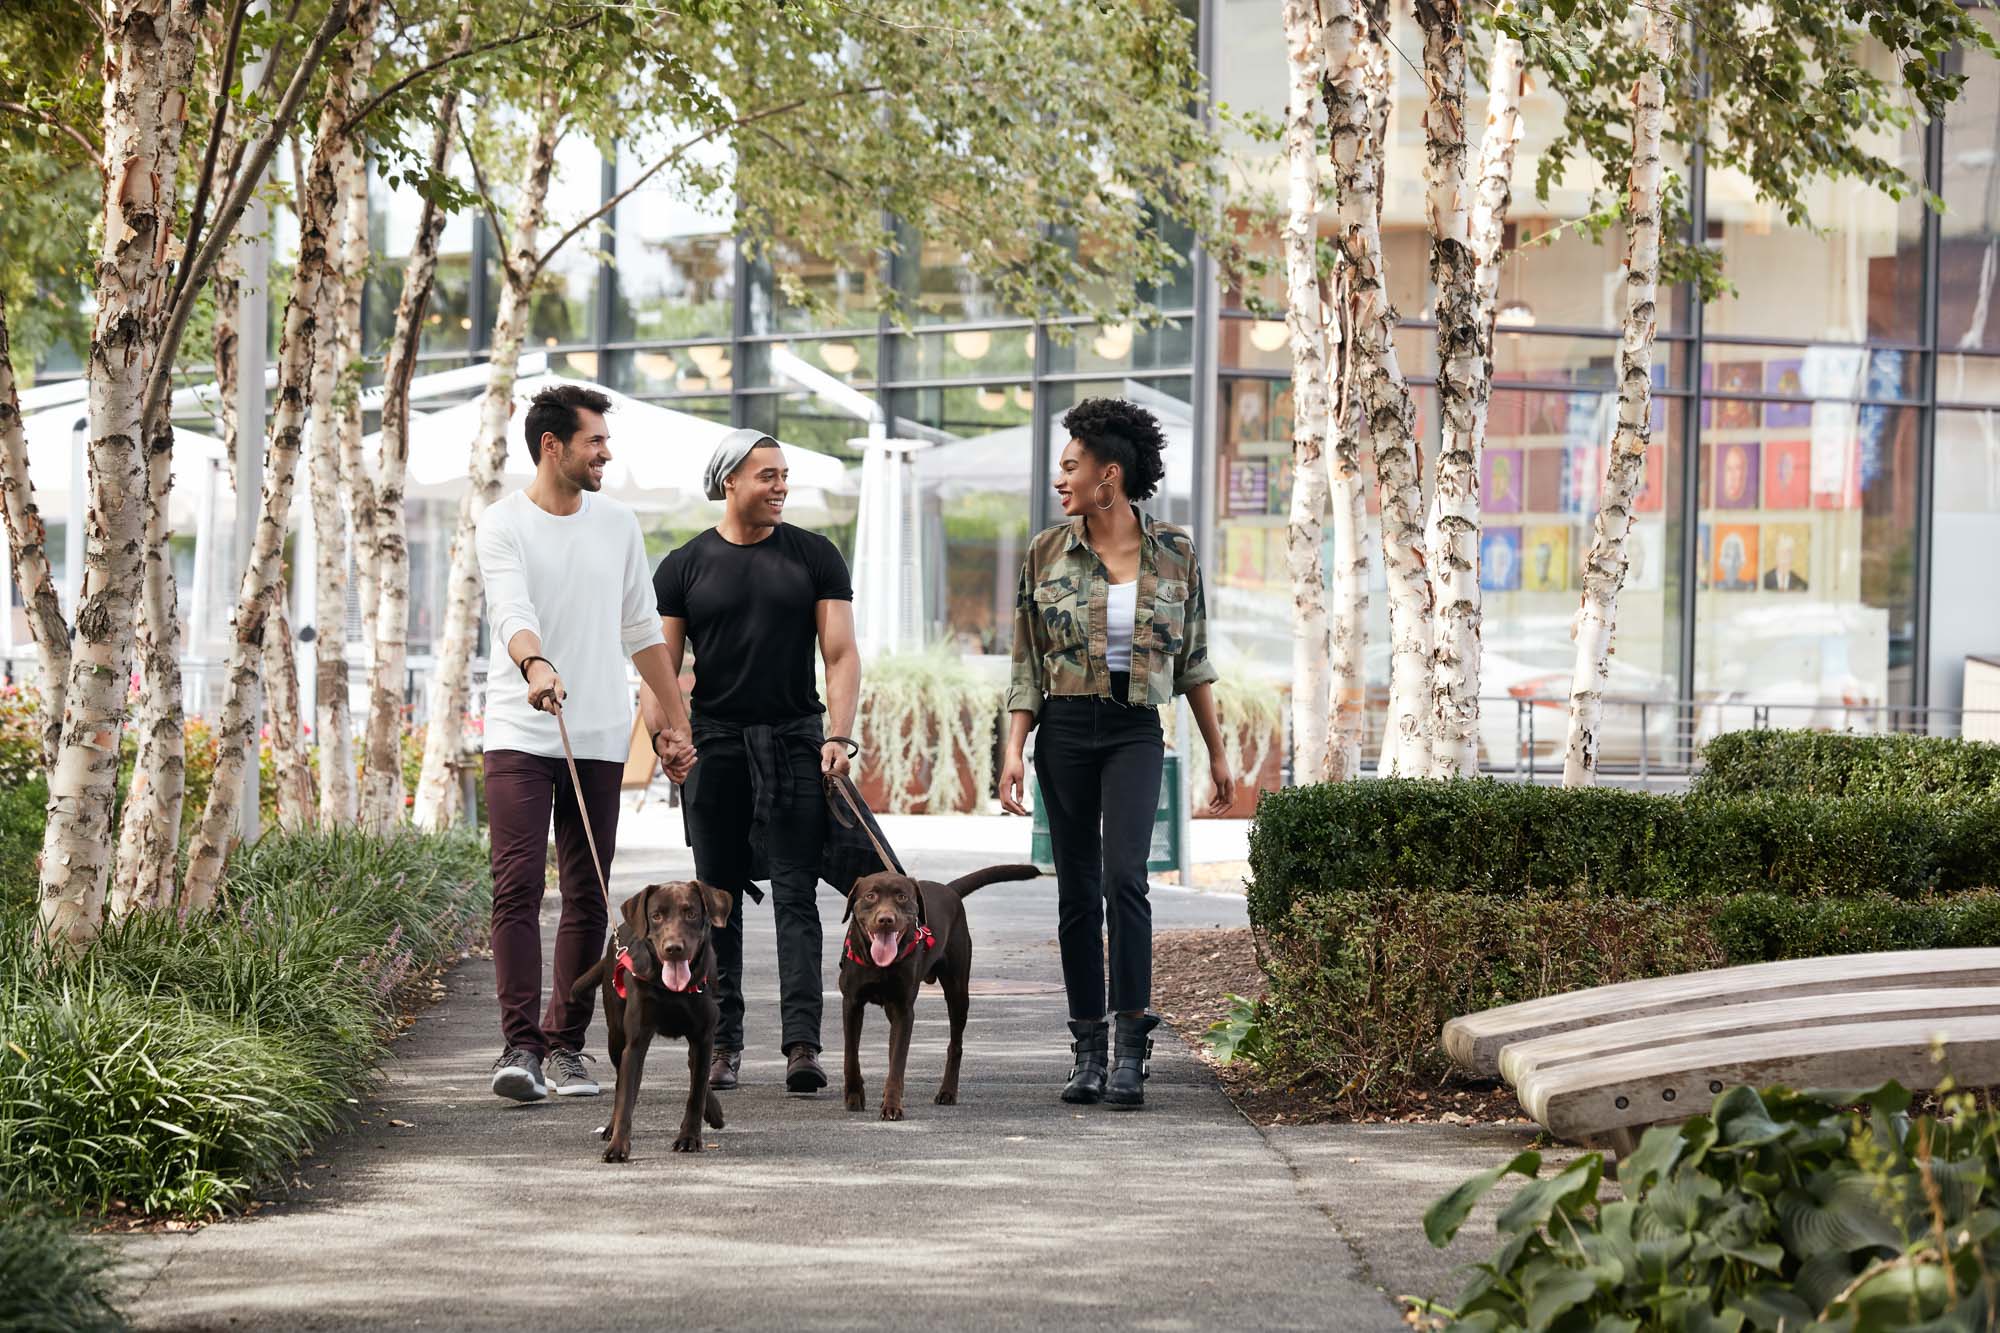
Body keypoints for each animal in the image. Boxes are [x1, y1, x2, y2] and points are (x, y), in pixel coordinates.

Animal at [568, 880, 732, 1160]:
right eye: (656, 916)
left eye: (691, 913)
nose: (673, 949)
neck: (672, 989)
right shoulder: (635, 1042)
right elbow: (625, 1097)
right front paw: (618, 1146)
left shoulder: (703, 1037)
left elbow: (696, 1092)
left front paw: (689, 1138)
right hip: (616, 1037)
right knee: (622, 1082)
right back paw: (611, 1126)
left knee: (695, 1070)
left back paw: (713, 1111)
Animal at [836, 860, 1040, 1112]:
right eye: (870, 896)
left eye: (902, 897)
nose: (886, 919)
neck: (879, 963)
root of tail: (948, 888)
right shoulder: (852, 1003)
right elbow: (851, 1055)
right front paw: (855, 1095)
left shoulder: (904, 1010)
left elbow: (898, 1060)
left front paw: (892, 1105)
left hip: (958, 992)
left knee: (955, 1045)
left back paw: (947, 1092)